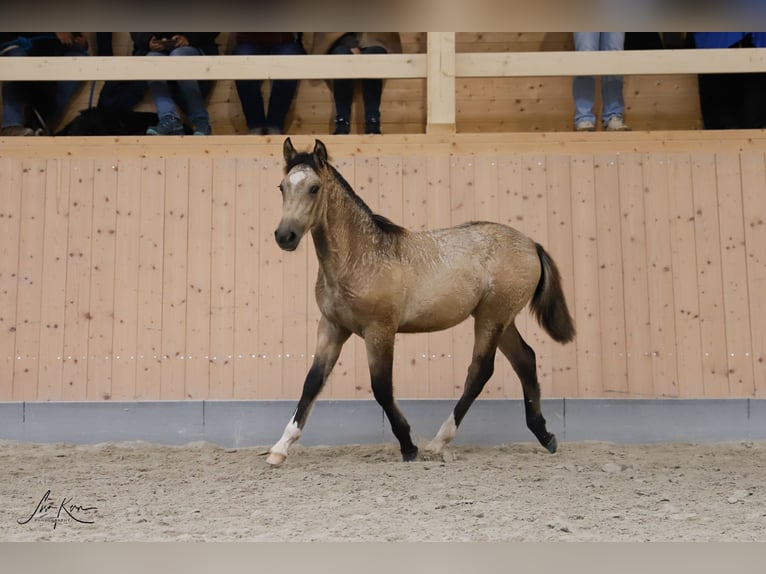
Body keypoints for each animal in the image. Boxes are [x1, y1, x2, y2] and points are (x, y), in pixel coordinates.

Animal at [268, 140, 572, 468]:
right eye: (282, 186)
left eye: (314, 188)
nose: (285, 236)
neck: (360, 257)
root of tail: (531, 244)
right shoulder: (332, 327)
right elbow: (312, 381)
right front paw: (279, 448)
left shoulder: (380, 330)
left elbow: (381, 388)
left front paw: (408, 445)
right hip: (502, 319)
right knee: (525, 360)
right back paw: (546, 436)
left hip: (492, 318)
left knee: (480, 371)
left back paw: (439, 442)